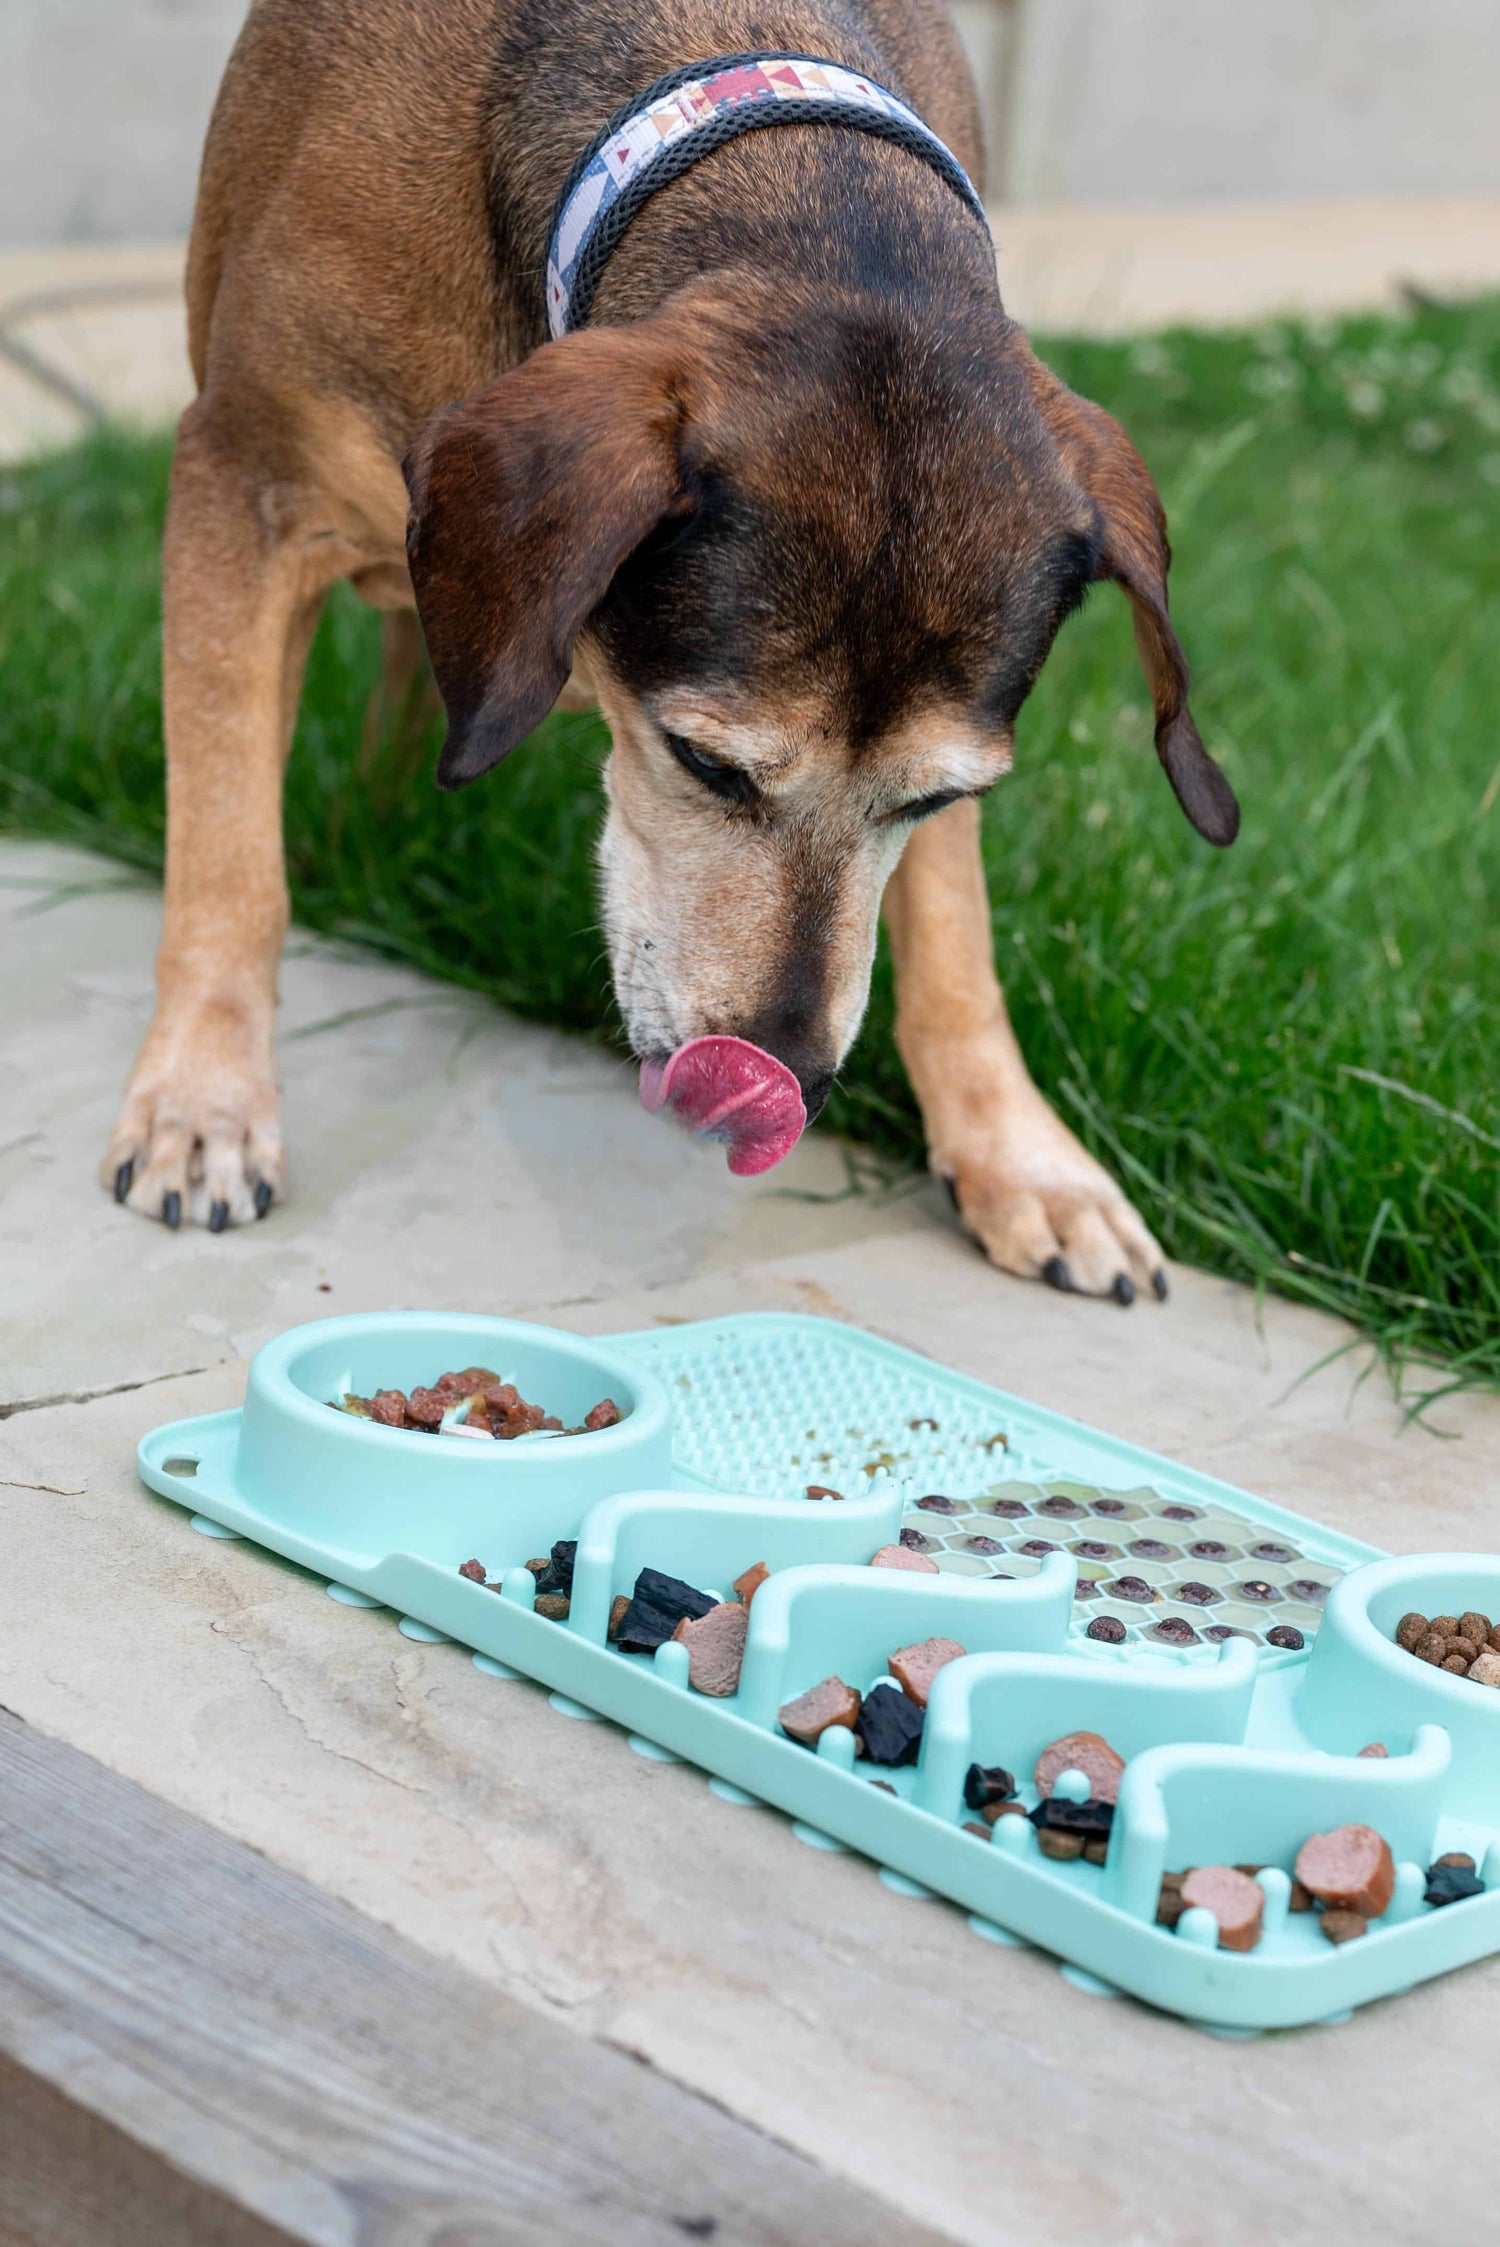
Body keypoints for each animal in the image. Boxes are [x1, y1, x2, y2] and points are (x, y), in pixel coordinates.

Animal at [102, 0, 1230, 1303]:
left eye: (936, 801)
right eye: (707, 764)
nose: (787, 1078)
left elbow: (954, 940)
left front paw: (1021, 1157)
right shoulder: (244, 482)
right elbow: (229, 856)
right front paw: (203, 1107)